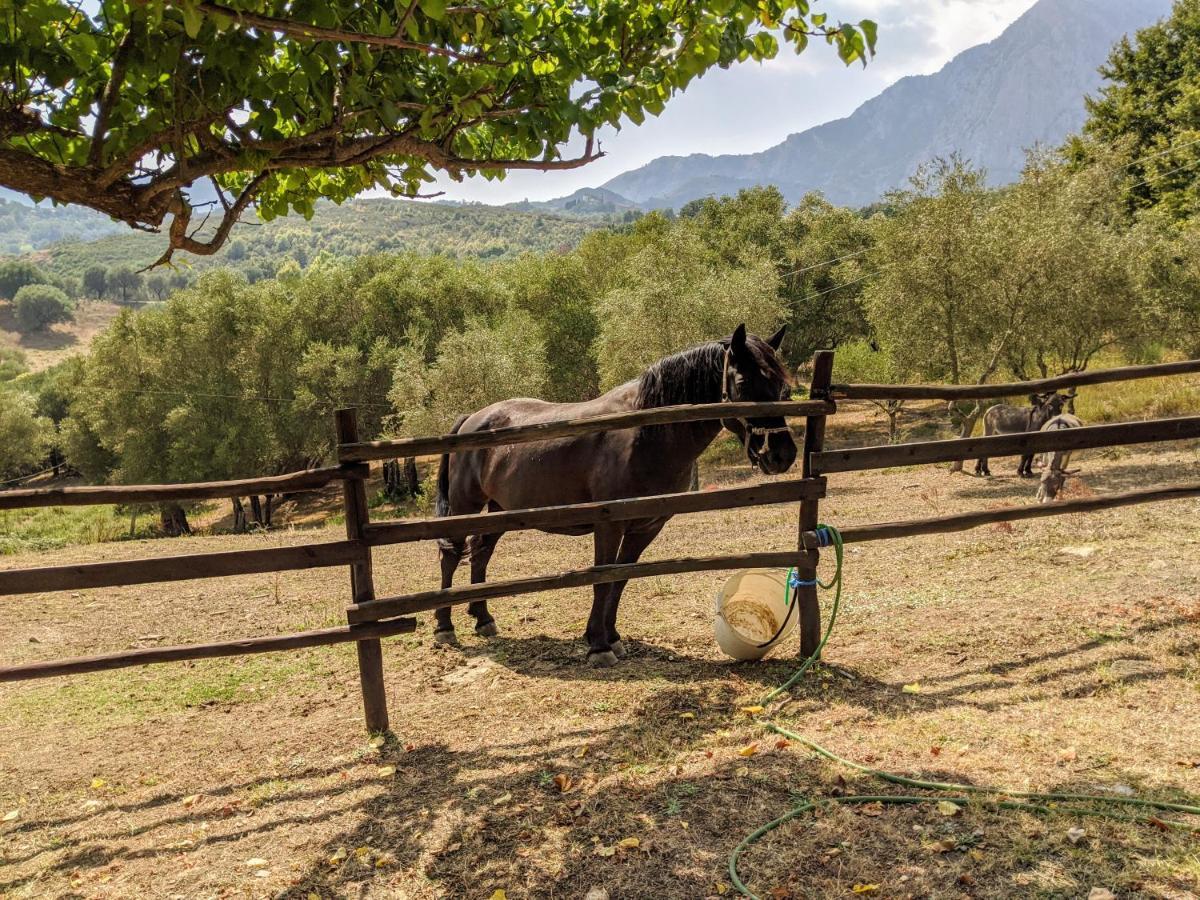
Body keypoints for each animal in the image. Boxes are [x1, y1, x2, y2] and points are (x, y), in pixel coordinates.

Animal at [432, 328, 796, 667]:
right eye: (743, 383)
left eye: (782, 385)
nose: (782, 454)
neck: (646, 431)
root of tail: (472, 420)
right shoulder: (609, 525)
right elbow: (602, 580)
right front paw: (598, 646)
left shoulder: (646, 527)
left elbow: (620, 580)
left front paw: (612, 637)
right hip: (466, 506)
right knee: (451, 557)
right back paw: (444, 628)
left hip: (500, 510)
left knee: (481, 555)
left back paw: (483, 618)